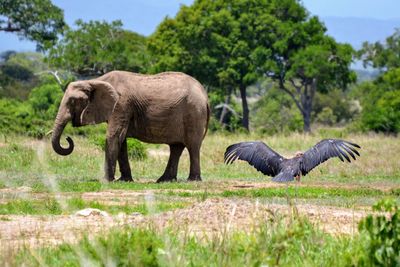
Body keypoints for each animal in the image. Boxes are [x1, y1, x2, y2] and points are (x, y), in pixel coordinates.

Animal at [50, 70, 209, 183]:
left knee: (192, 146)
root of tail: (205, 95)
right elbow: (121, 140)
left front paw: (106, 181)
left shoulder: (121, 104)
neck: (95, 81)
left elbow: (113, 136)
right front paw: (124, 180)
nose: (68, 138)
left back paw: (192, 180)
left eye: (72, 101)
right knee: (176, 147)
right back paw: (165, 180)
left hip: (194, 113)